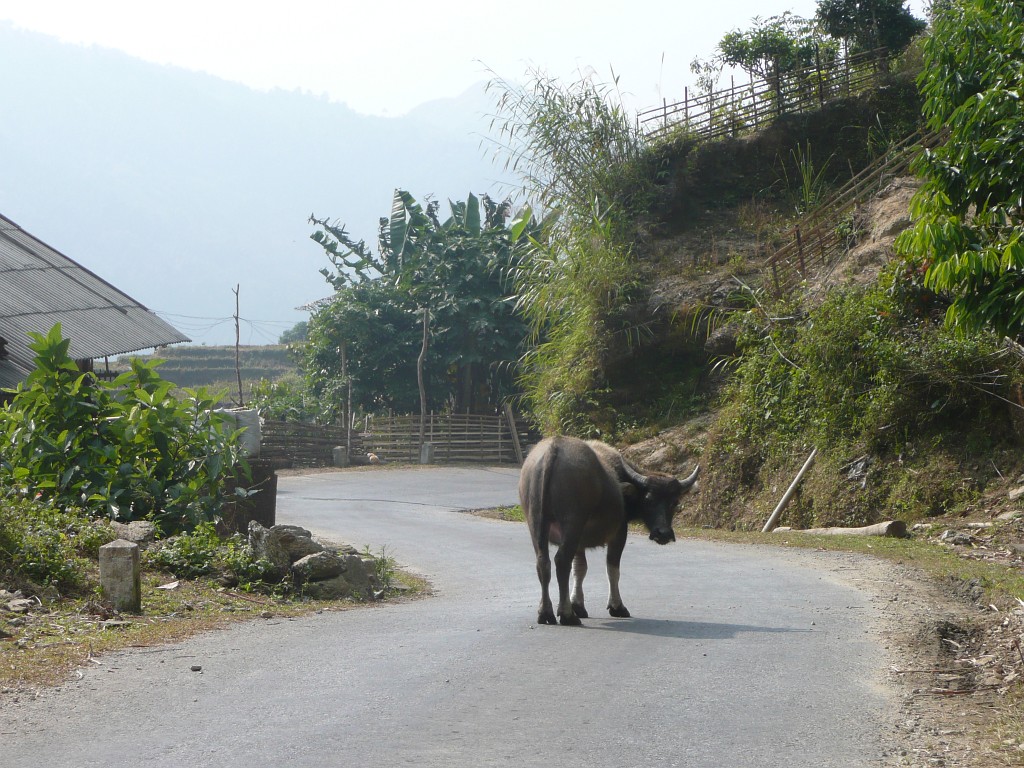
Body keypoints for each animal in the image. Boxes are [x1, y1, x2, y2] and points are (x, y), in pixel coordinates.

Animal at [520, 438, 696, 626]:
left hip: (536, 524)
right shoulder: (618, 533)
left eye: (674, 502)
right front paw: (617, 607)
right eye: (649, 500)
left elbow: (580, 568)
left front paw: (578, 605)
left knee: (543, 562)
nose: (663, 533)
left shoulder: (580, 543)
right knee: (561, 562)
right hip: (572, 524)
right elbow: (612, 569)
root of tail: (554, 448)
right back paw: (567, 615)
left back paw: (545, 612)